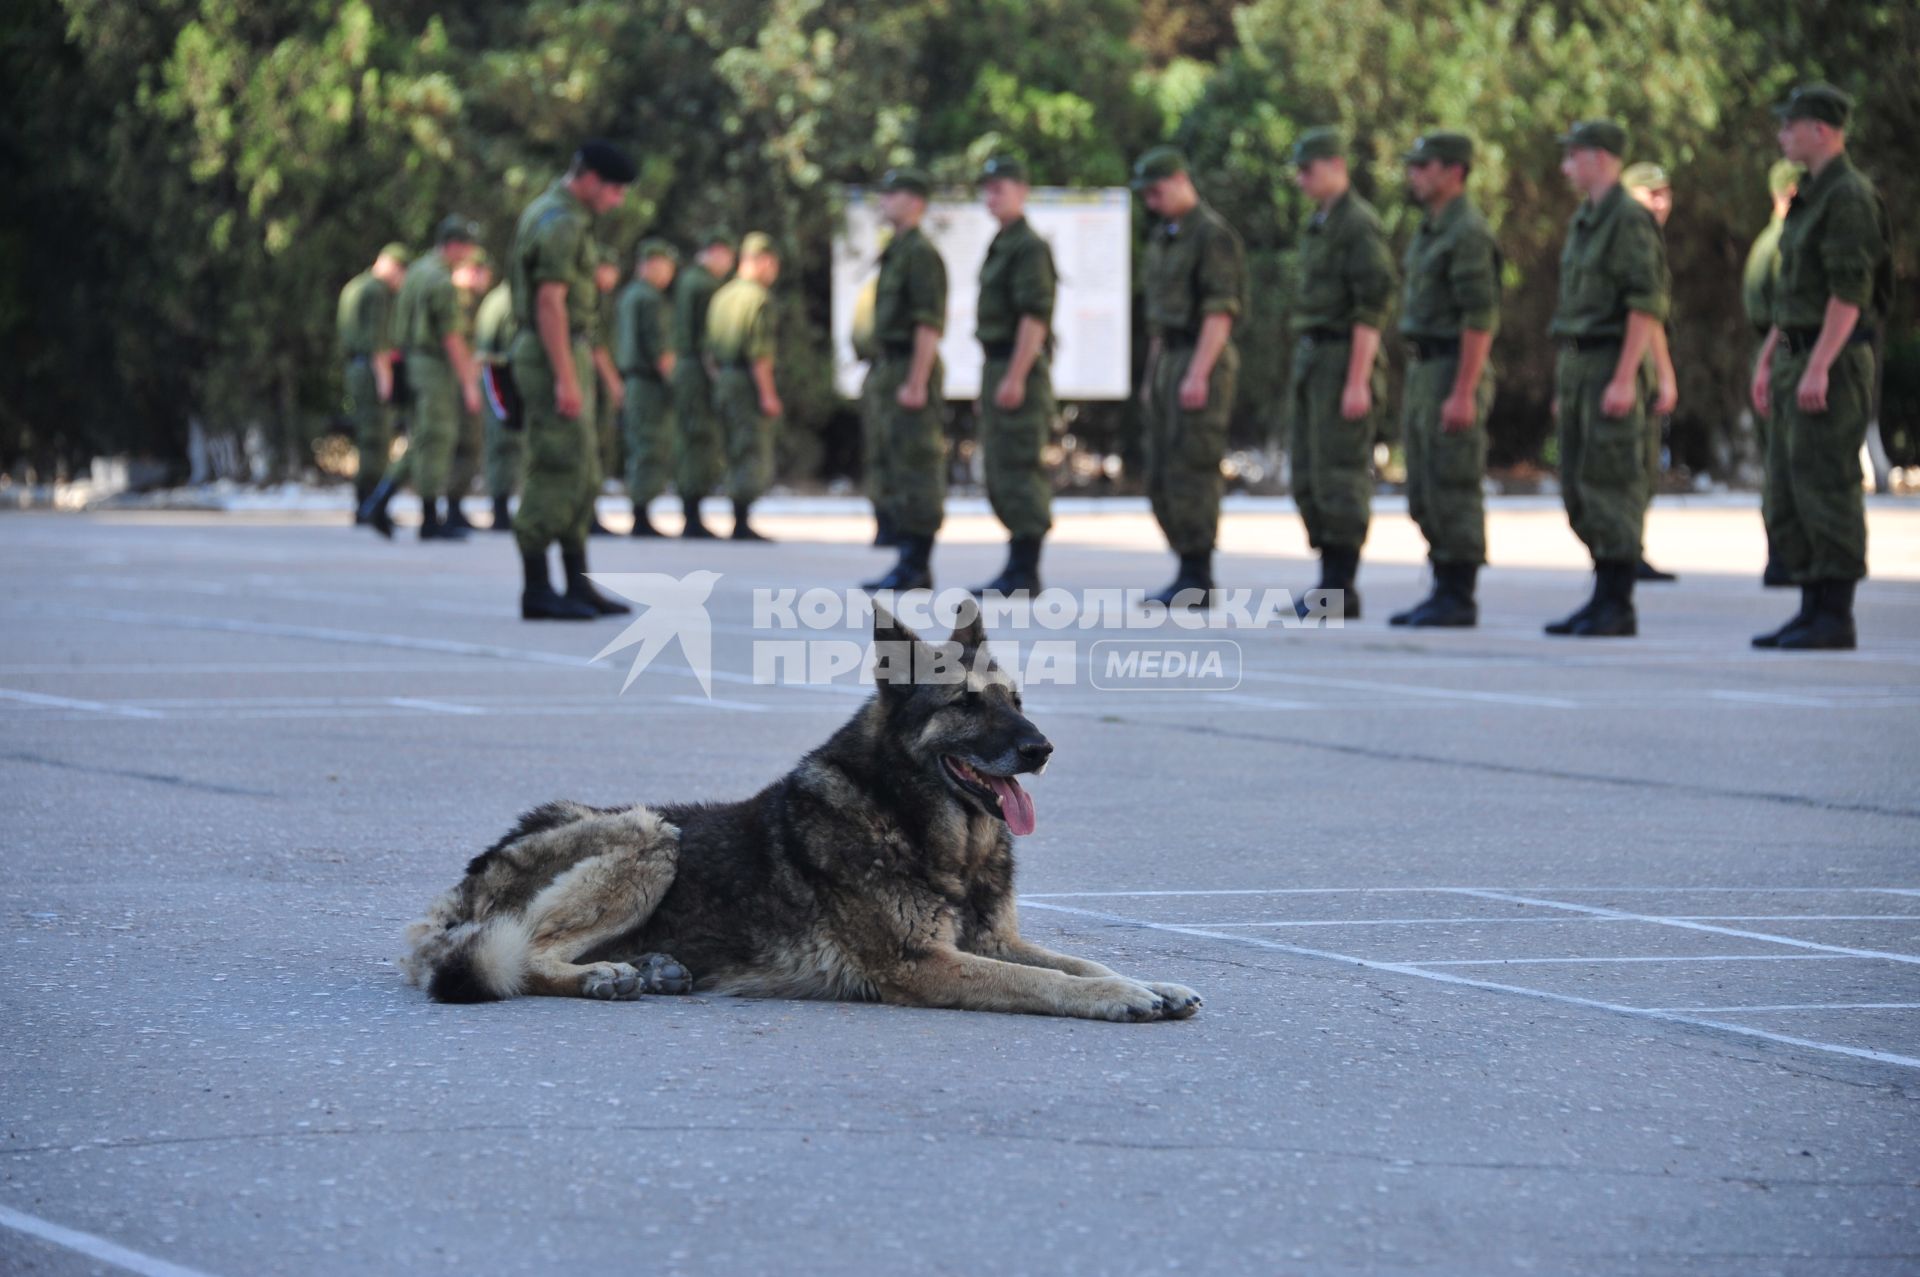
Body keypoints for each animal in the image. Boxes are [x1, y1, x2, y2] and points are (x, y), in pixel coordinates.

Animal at [405, 602, 1198, 1021]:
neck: (915, 825)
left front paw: (1147, 983)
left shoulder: (993, 940)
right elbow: (1050, 981)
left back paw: (644, 969)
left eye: (1017, 700)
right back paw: (604, 977)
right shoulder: (927, 965)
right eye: (967, 704)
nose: (1042, 749)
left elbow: (1083, 960)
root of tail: (458, 889)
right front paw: (1117, 997)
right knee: (524, 954)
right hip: (650, 832)